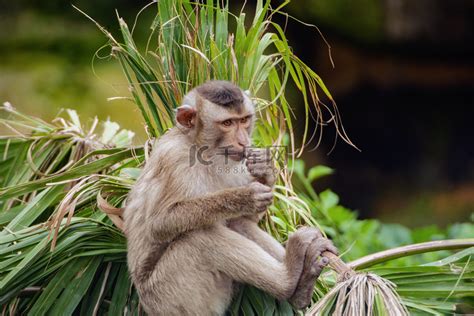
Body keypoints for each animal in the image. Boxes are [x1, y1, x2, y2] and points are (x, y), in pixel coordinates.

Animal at [122, 80, 336, 314]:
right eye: (227, 123)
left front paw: (264, 170)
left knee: (237, 224)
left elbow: (246, 218)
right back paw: (288, 279)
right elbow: (159, 224)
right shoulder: (174, 160)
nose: (243, 141)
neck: (200, 149)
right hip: (170, 296)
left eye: (243, 120)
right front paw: (244, 197)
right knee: (199, 238)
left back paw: (301, 286)